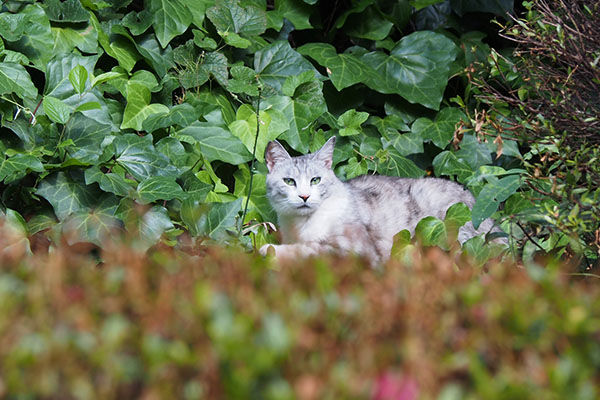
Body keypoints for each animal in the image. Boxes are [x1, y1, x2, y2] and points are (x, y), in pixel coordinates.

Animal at [260, 138, 504, 266]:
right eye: (289, 181)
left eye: (315, 180)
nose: (304, 196)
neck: (302, 224)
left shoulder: (357, 250)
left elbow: (311, 249)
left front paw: (269, 250)